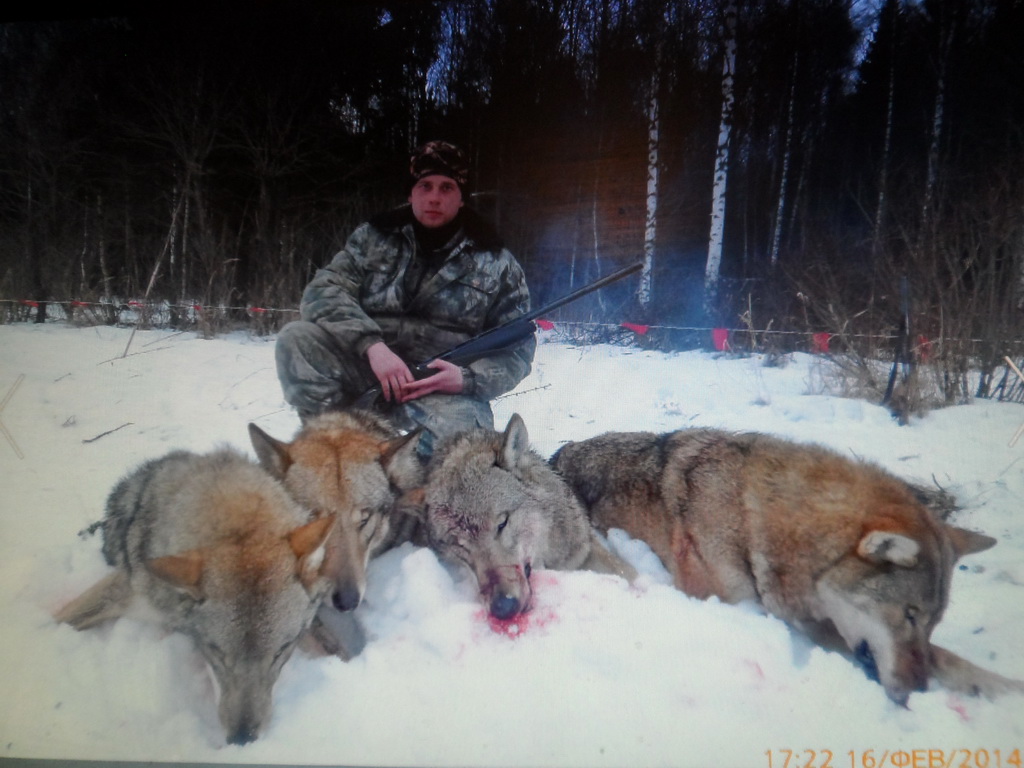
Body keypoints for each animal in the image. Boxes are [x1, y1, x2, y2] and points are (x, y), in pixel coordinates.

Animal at [551, 428, 1024, 705]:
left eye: (931, 623)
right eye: (908, 616)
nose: (921, 691)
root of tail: (559, 452)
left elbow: (948, 657)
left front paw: (1001, 688)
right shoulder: (748, 607)